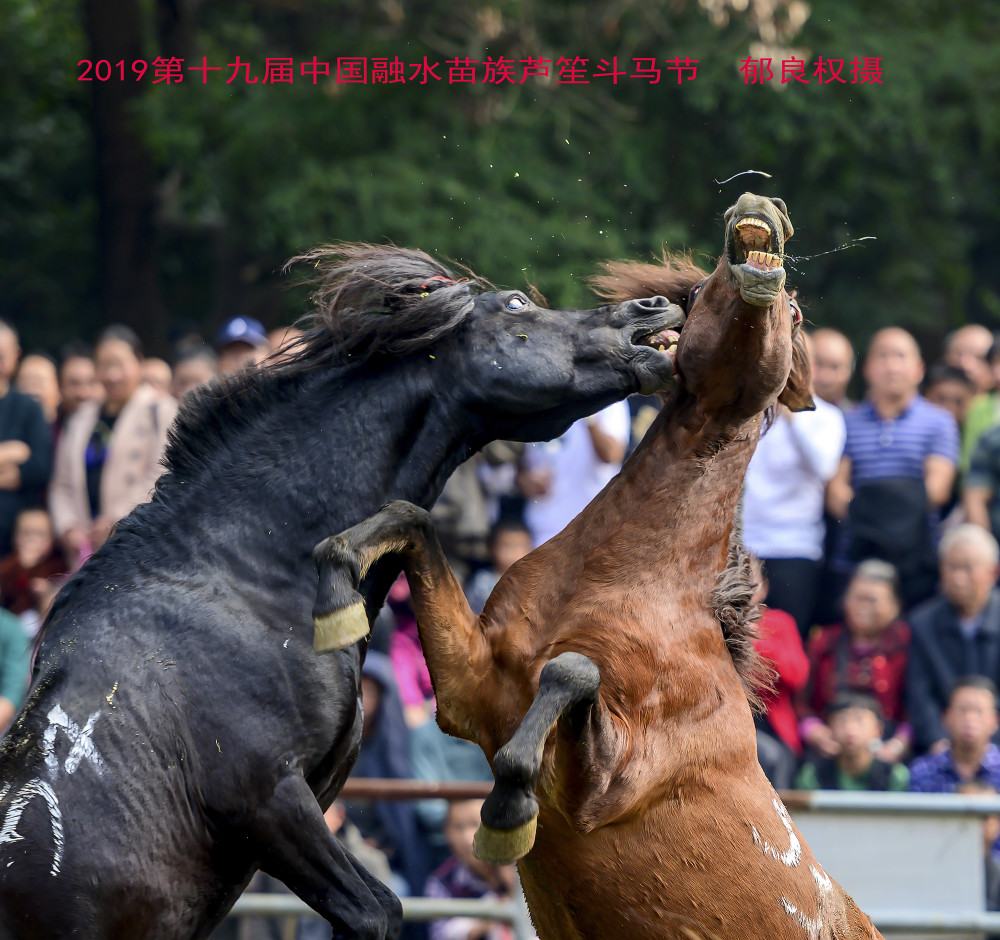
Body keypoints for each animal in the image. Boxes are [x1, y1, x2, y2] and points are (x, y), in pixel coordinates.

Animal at [0, 244, 684, 940]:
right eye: (517, 304)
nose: (653, 306)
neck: (243, 579)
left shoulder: (302, 807)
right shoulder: (267, 798)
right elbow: (374, 911)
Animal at [316, 195, 880, 936]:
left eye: (793, 313)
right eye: (703, 286)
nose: (759, 210)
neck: (625, 586)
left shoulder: (605, 782)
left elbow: (572, 672)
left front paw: (506, 812)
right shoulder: (471, 687)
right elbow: (413, 523)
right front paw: (336, 586)